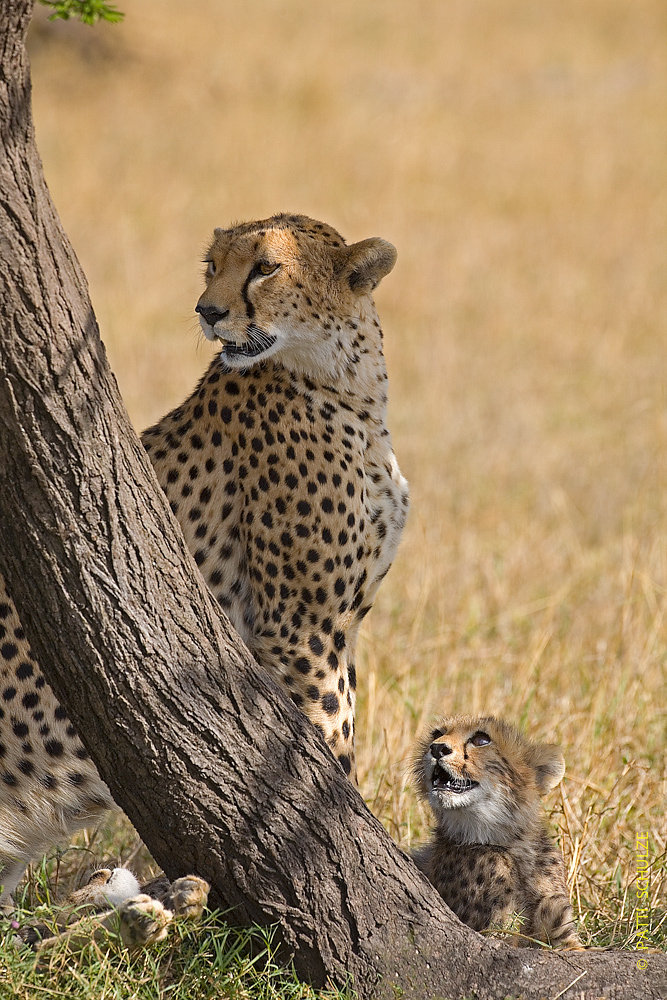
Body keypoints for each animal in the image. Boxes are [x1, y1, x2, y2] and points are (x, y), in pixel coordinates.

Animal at [0, 215, 410, 904]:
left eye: (266, 267)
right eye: (212, 265)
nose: (208, 311)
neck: (348, 383)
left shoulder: (337, 626)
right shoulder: (301, 630)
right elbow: (331, 746)